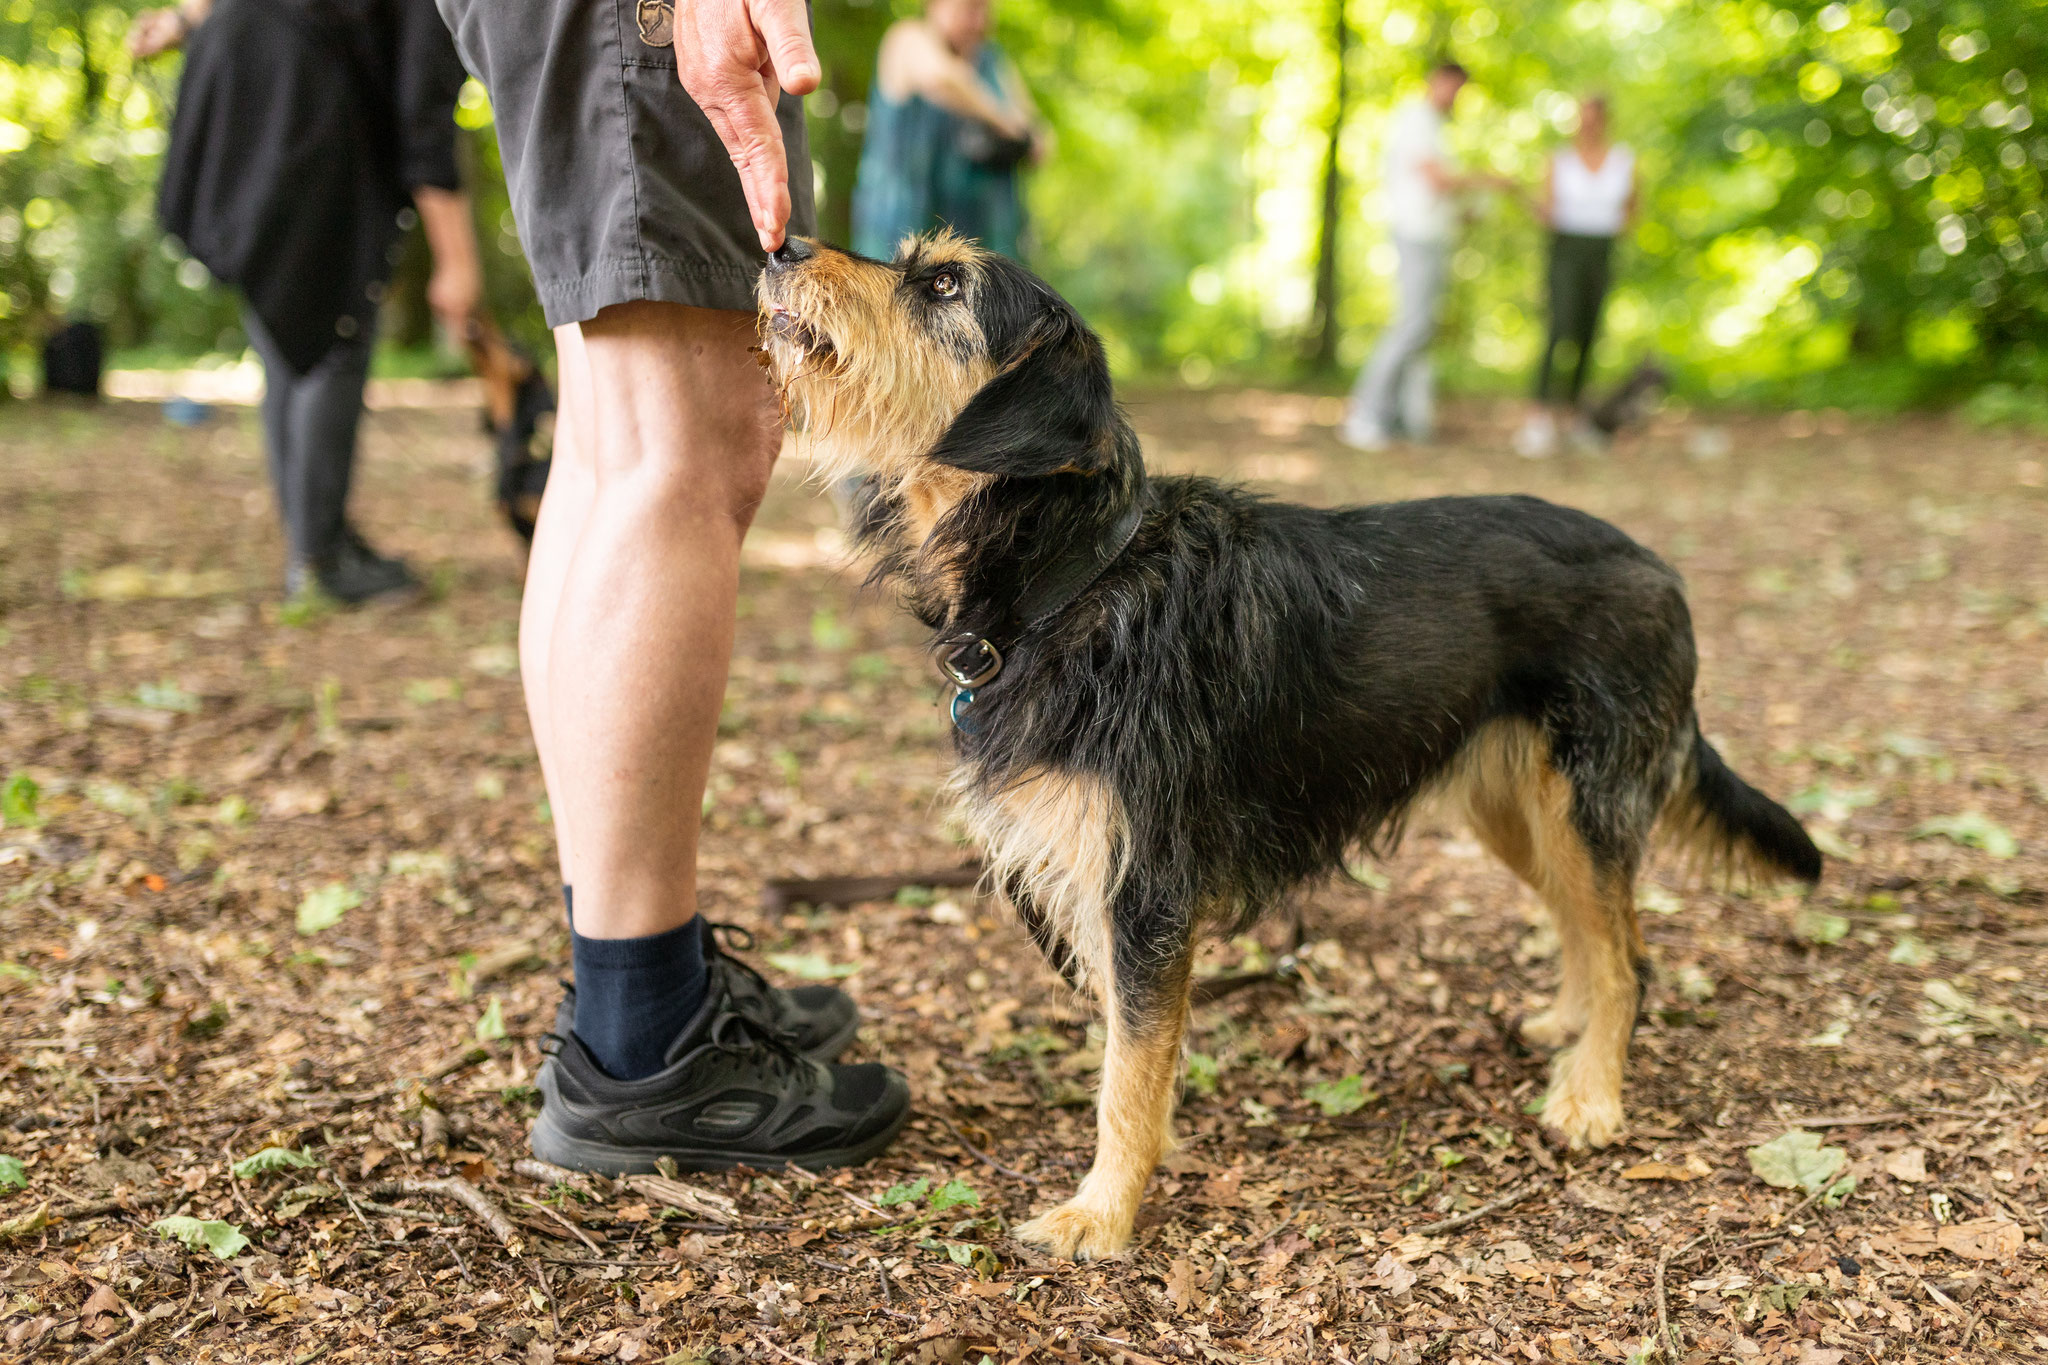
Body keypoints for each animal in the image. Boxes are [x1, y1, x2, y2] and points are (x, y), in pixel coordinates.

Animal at [757, 232, 1826, 1260]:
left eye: (942, 284)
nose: (780, 249)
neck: (1078, 576)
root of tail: (1662, 571)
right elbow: (1133, 1045)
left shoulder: (1146, 886)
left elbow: (1127, 1065)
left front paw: (1103, 1214)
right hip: (1519, 811)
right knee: (1588, 928)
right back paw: (1566, 1027)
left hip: (1589, 802)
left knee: (1629, 957)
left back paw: (1592, 1094)